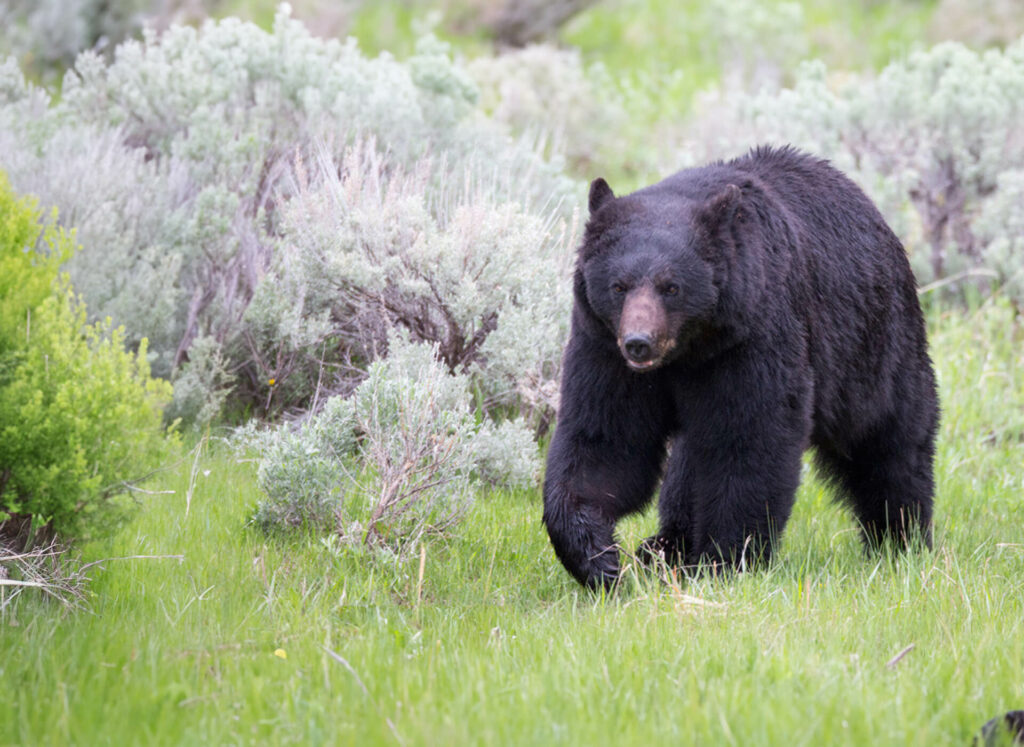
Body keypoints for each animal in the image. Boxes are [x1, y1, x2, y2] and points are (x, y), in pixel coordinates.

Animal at [544, 147, 937, 590]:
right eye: (619, 285)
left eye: (671, 286)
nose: (639, 342)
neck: (689, 351)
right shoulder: (603, 348)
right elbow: (606, 440)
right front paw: (597, 558)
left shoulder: (753, 336)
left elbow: (749, 439)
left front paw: (725, 560)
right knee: (688, 462)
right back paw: (664, 547)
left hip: (872, 346)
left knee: (890, 441)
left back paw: (900, 539)